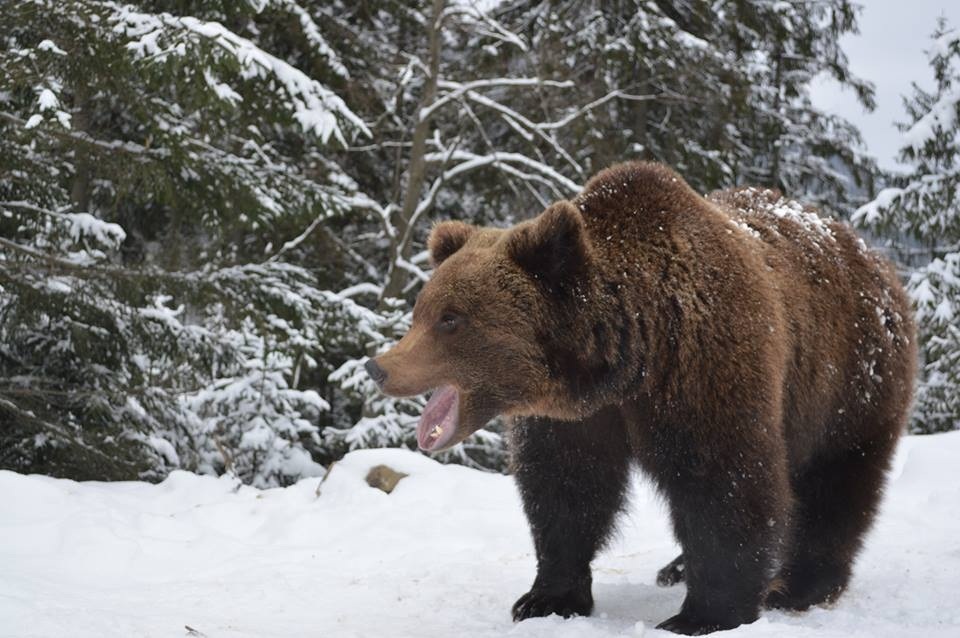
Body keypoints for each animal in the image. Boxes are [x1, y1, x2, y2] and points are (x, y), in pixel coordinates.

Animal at [366, 162, 916, 636]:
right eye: (422, 310)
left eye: (451, 319)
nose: (379, 366)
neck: (627, 360)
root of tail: (874, 258)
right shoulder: (575, 420)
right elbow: (565, 491)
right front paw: (545, 598)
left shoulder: (704, 370)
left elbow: (724, 484)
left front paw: (702, 615)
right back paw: (676, 567)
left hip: (848, 378)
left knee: (836, 481)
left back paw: (799, 585)